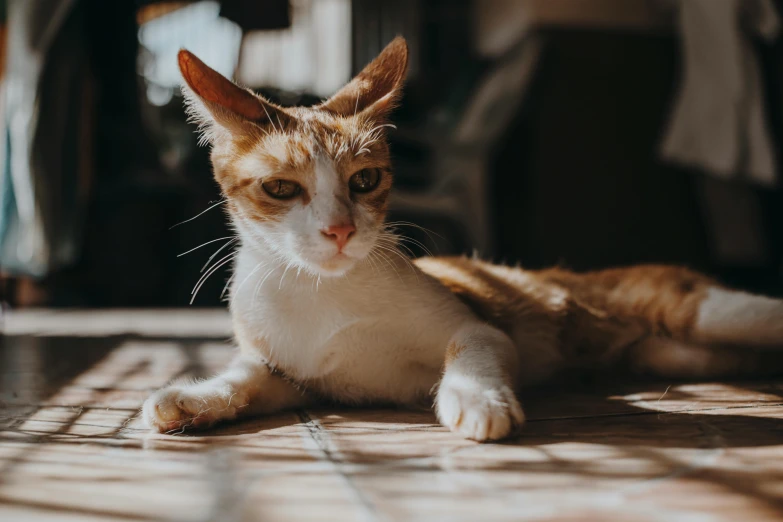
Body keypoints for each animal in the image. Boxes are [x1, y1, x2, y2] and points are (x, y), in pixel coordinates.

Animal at [144, 37, 783, 438]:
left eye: (365, 180)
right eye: (280, 188)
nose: (340, 229)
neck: (319, 295)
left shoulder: (480, 326)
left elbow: (472, 347)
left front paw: (476, 400)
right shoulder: (295, 378)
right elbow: (249, 377)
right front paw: (192, 398)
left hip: (704, 313)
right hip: (673, 353)